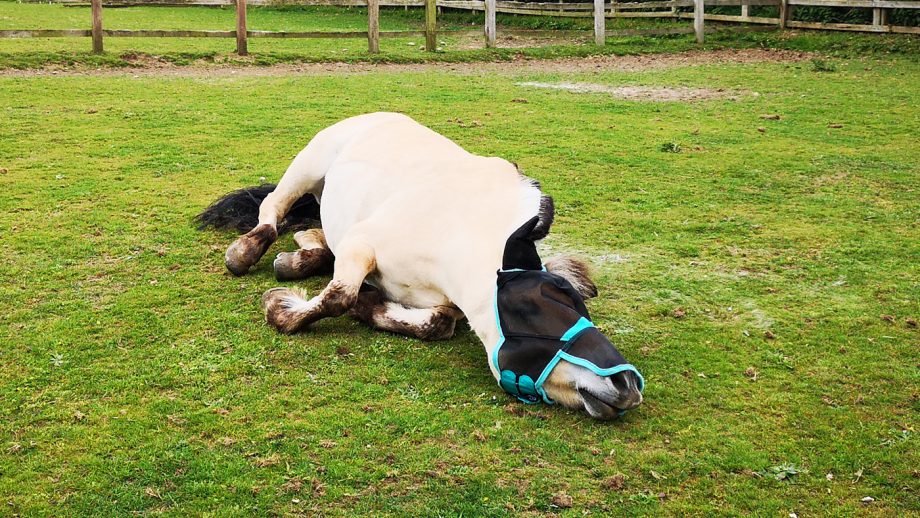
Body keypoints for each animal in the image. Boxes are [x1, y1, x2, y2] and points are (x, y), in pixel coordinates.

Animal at [197, 112, 643, 420]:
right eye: (534, 305)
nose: (626, 384)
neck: (457, 233)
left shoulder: (443, 302)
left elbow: (436, 324)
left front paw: (371, 305)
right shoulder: (362, 244)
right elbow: (338, 296)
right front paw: (283, 307)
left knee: (313, 235)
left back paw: (300, 256)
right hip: (307, 167)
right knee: (272, 210)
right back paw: (247, 252)